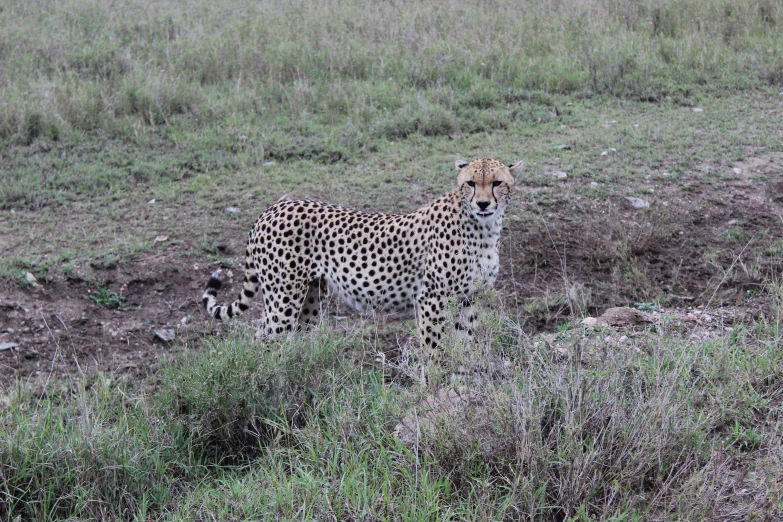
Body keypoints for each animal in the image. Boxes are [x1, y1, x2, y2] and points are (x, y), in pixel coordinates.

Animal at [202, 156, 524, 356]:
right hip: (283, 296)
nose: (483, 204)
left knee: (290, 337)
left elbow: (465, 343)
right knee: (266, 339)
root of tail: (273, 207)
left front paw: (461, 383)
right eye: (470, 183)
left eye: (497, 183)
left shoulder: (470, 297)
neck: (483, 227)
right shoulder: (432, 297)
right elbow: (435, 351)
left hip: (310, 296)